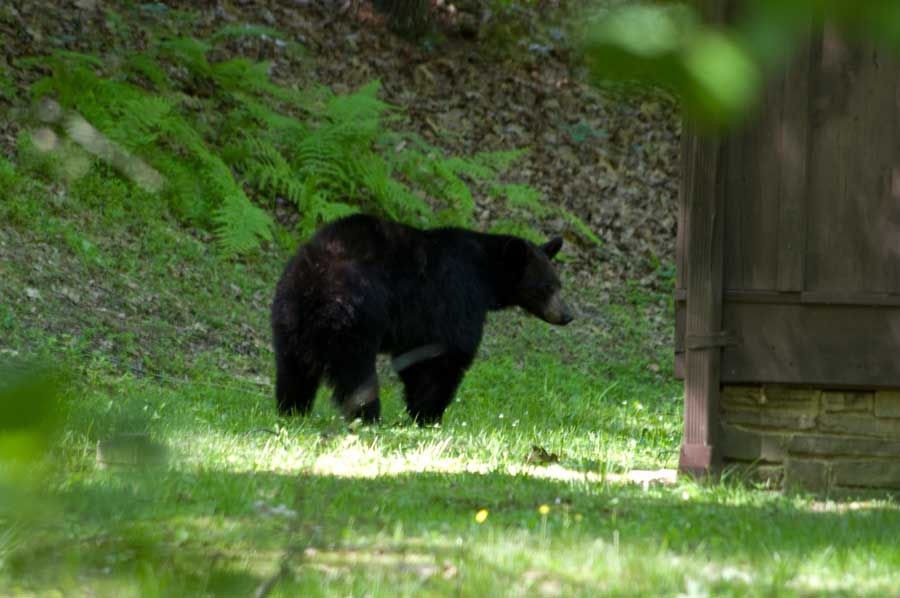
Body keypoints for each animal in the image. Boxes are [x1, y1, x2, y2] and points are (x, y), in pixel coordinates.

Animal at [270, 216, 572, 426]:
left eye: (559, 284)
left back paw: (292, 409)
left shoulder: (418, 323)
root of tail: (314, 280)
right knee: (355, 372)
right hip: (354, 315)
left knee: (293, 367)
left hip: (288, 315)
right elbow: (445, 356)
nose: (567, 315)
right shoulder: (454, 294)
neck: (486, 275)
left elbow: (415, 357)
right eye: (546, 287)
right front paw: (429, 415)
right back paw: (368, 416)